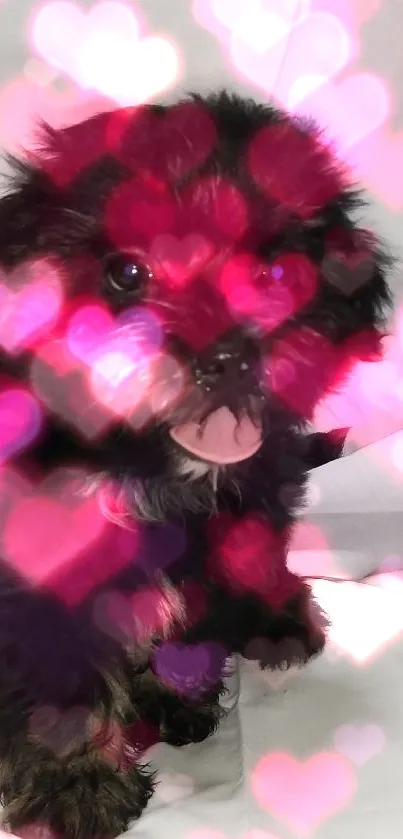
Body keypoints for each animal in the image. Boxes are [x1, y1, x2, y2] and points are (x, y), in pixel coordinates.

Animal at [0, 88, 394, 836]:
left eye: (272, 274)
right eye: (126, 273)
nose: (229, 356)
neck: (148, 467)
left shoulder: (237, 508)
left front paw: (180, 691)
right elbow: (64, 681)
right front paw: (81, 790)